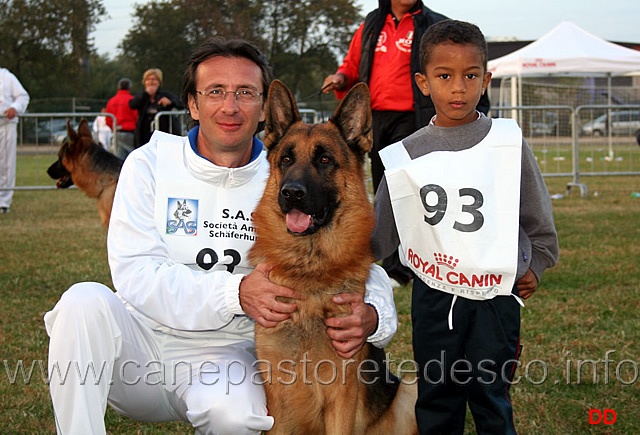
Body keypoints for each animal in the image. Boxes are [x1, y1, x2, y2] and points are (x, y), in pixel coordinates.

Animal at [250, 80, 420, 434]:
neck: (310, 269)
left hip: (410, 389)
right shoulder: (276, 402)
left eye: (325, 160)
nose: (291, 193)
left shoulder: (341, 394)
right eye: (286, 159)